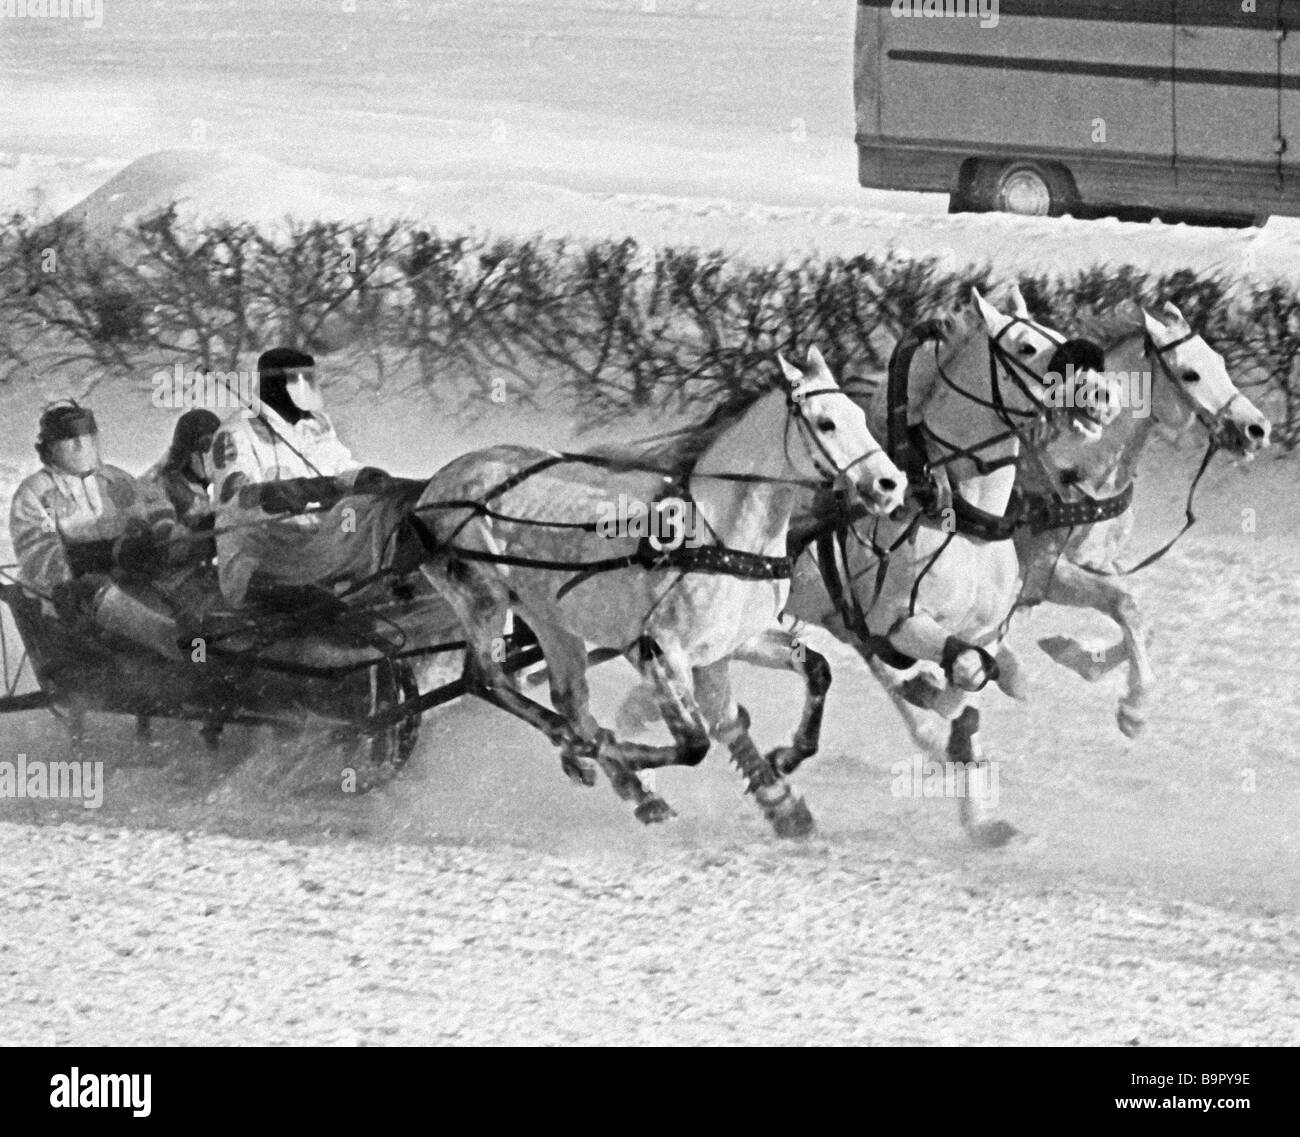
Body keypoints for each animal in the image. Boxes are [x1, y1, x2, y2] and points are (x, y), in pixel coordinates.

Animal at [413, 350, 904, 842]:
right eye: (826, 423)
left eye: (860, 416)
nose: (890, 484)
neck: (719, 538)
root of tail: (434, 488)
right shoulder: (660, 651)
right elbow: (693, 744)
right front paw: (611, 752)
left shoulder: (737, 642)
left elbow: (812, 673)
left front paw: (786, 763)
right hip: (483, 600)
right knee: (486, 679)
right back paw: (587, 752)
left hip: (549, 619)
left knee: (568, 698)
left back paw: (622, 780)